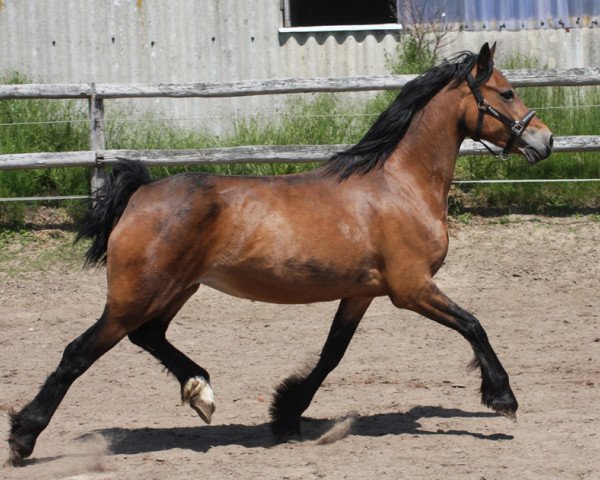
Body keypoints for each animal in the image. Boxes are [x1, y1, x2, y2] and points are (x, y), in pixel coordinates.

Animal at [8, 44, 552, 464]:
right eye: (506, 93)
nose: (545, 140)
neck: (398, 185)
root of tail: (140, 193)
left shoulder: (363, 293)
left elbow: (332, 355)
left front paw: (286, 416)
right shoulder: (411, 287)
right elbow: (473, 324)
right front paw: (503, 397)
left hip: (175, 289)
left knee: (148, 336)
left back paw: (201, 392)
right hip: (136, 294)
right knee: (79, 353)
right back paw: (23, 438)